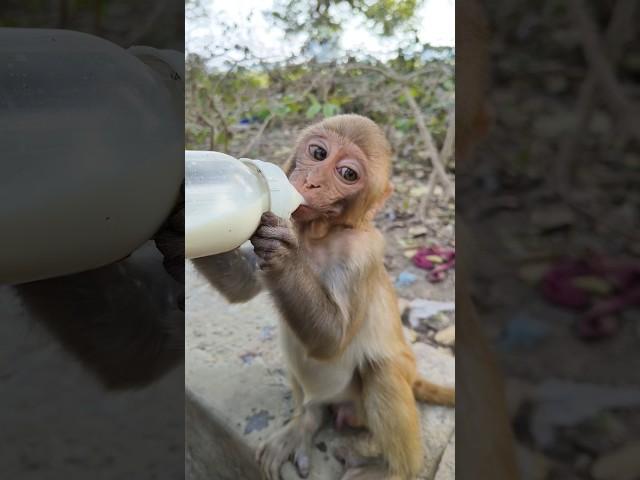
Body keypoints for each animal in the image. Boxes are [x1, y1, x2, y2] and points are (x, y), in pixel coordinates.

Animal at [250, 114, 456, 478]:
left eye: (347, 174)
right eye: (318, 153)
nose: (312, 181)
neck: (318, 234)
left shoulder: (365, 252)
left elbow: (332, 341)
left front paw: (281, 253)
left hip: (367, 400)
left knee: (383, 372)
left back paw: (391, 470)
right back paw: (306, 422)